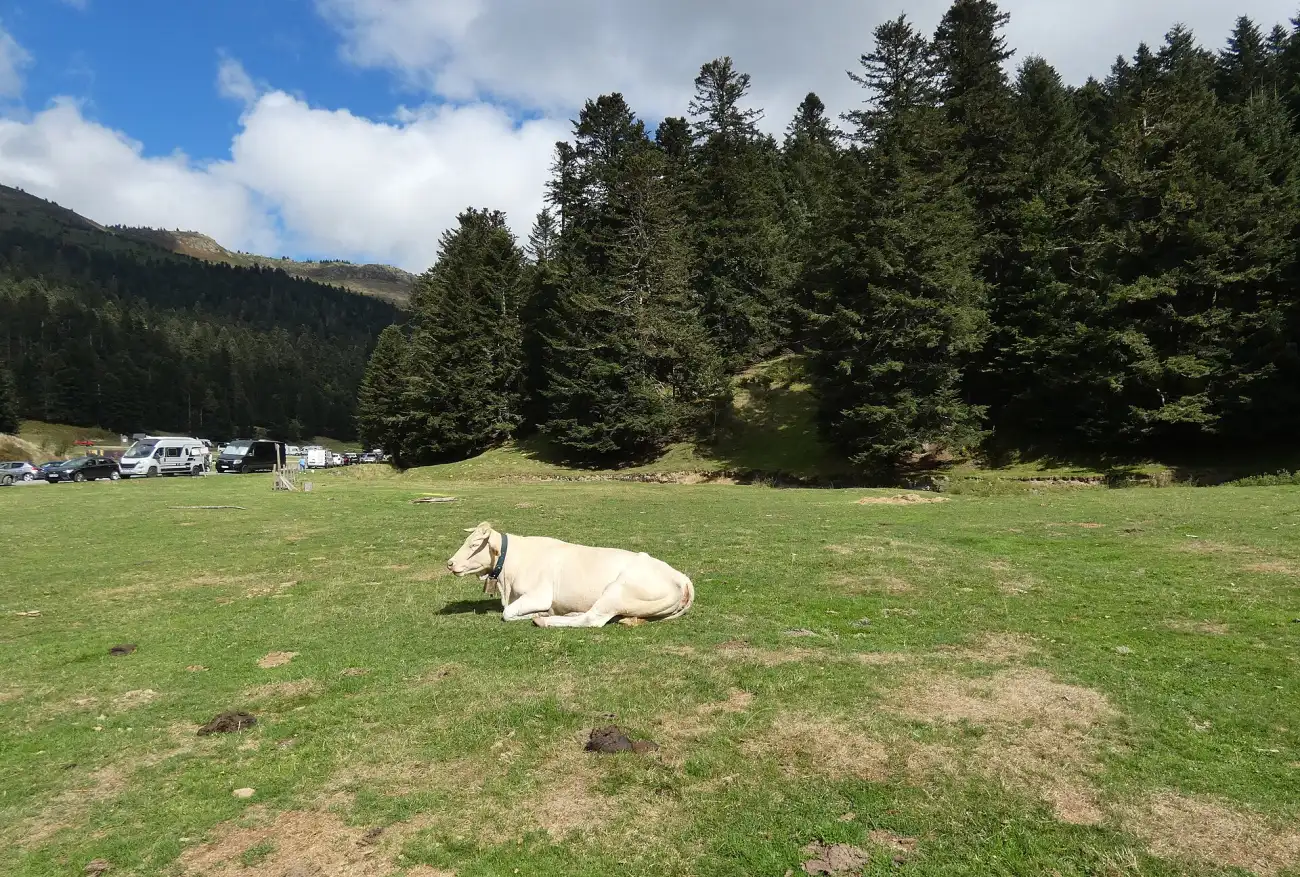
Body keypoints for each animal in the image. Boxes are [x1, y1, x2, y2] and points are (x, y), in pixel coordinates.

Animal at [444, 521, 694, 627]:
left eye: (473, 544)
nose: (450, 563)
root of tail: (682, 578)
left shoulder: (539, 594)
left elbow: (507, 613)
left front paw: (537, 614)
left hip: (618, 589)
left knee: (593, 619)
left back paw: (545, 620)